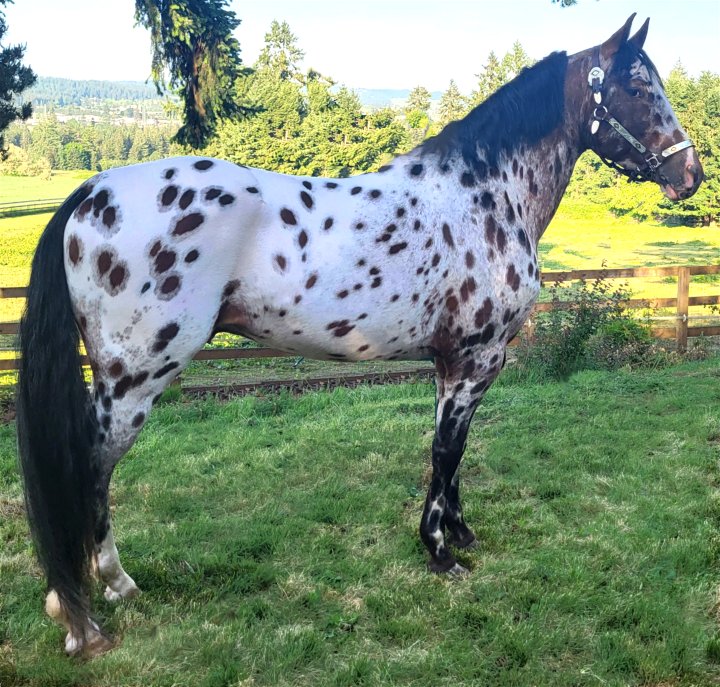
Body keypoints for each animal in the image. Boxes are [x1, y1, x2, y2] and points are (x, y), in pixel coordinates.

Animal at [16, 14, 703, 656]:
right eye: (638, 86)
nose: (691, 173)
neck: (482, 197)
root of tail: (90, 192)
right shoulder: (474, 360)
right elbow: (445, 452)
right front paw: (440, 552)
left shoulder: (450, 366)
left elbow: (452, 453)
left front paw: (460, 533)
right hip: (134, 381)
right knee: (88, 469)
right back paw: (93, 610)